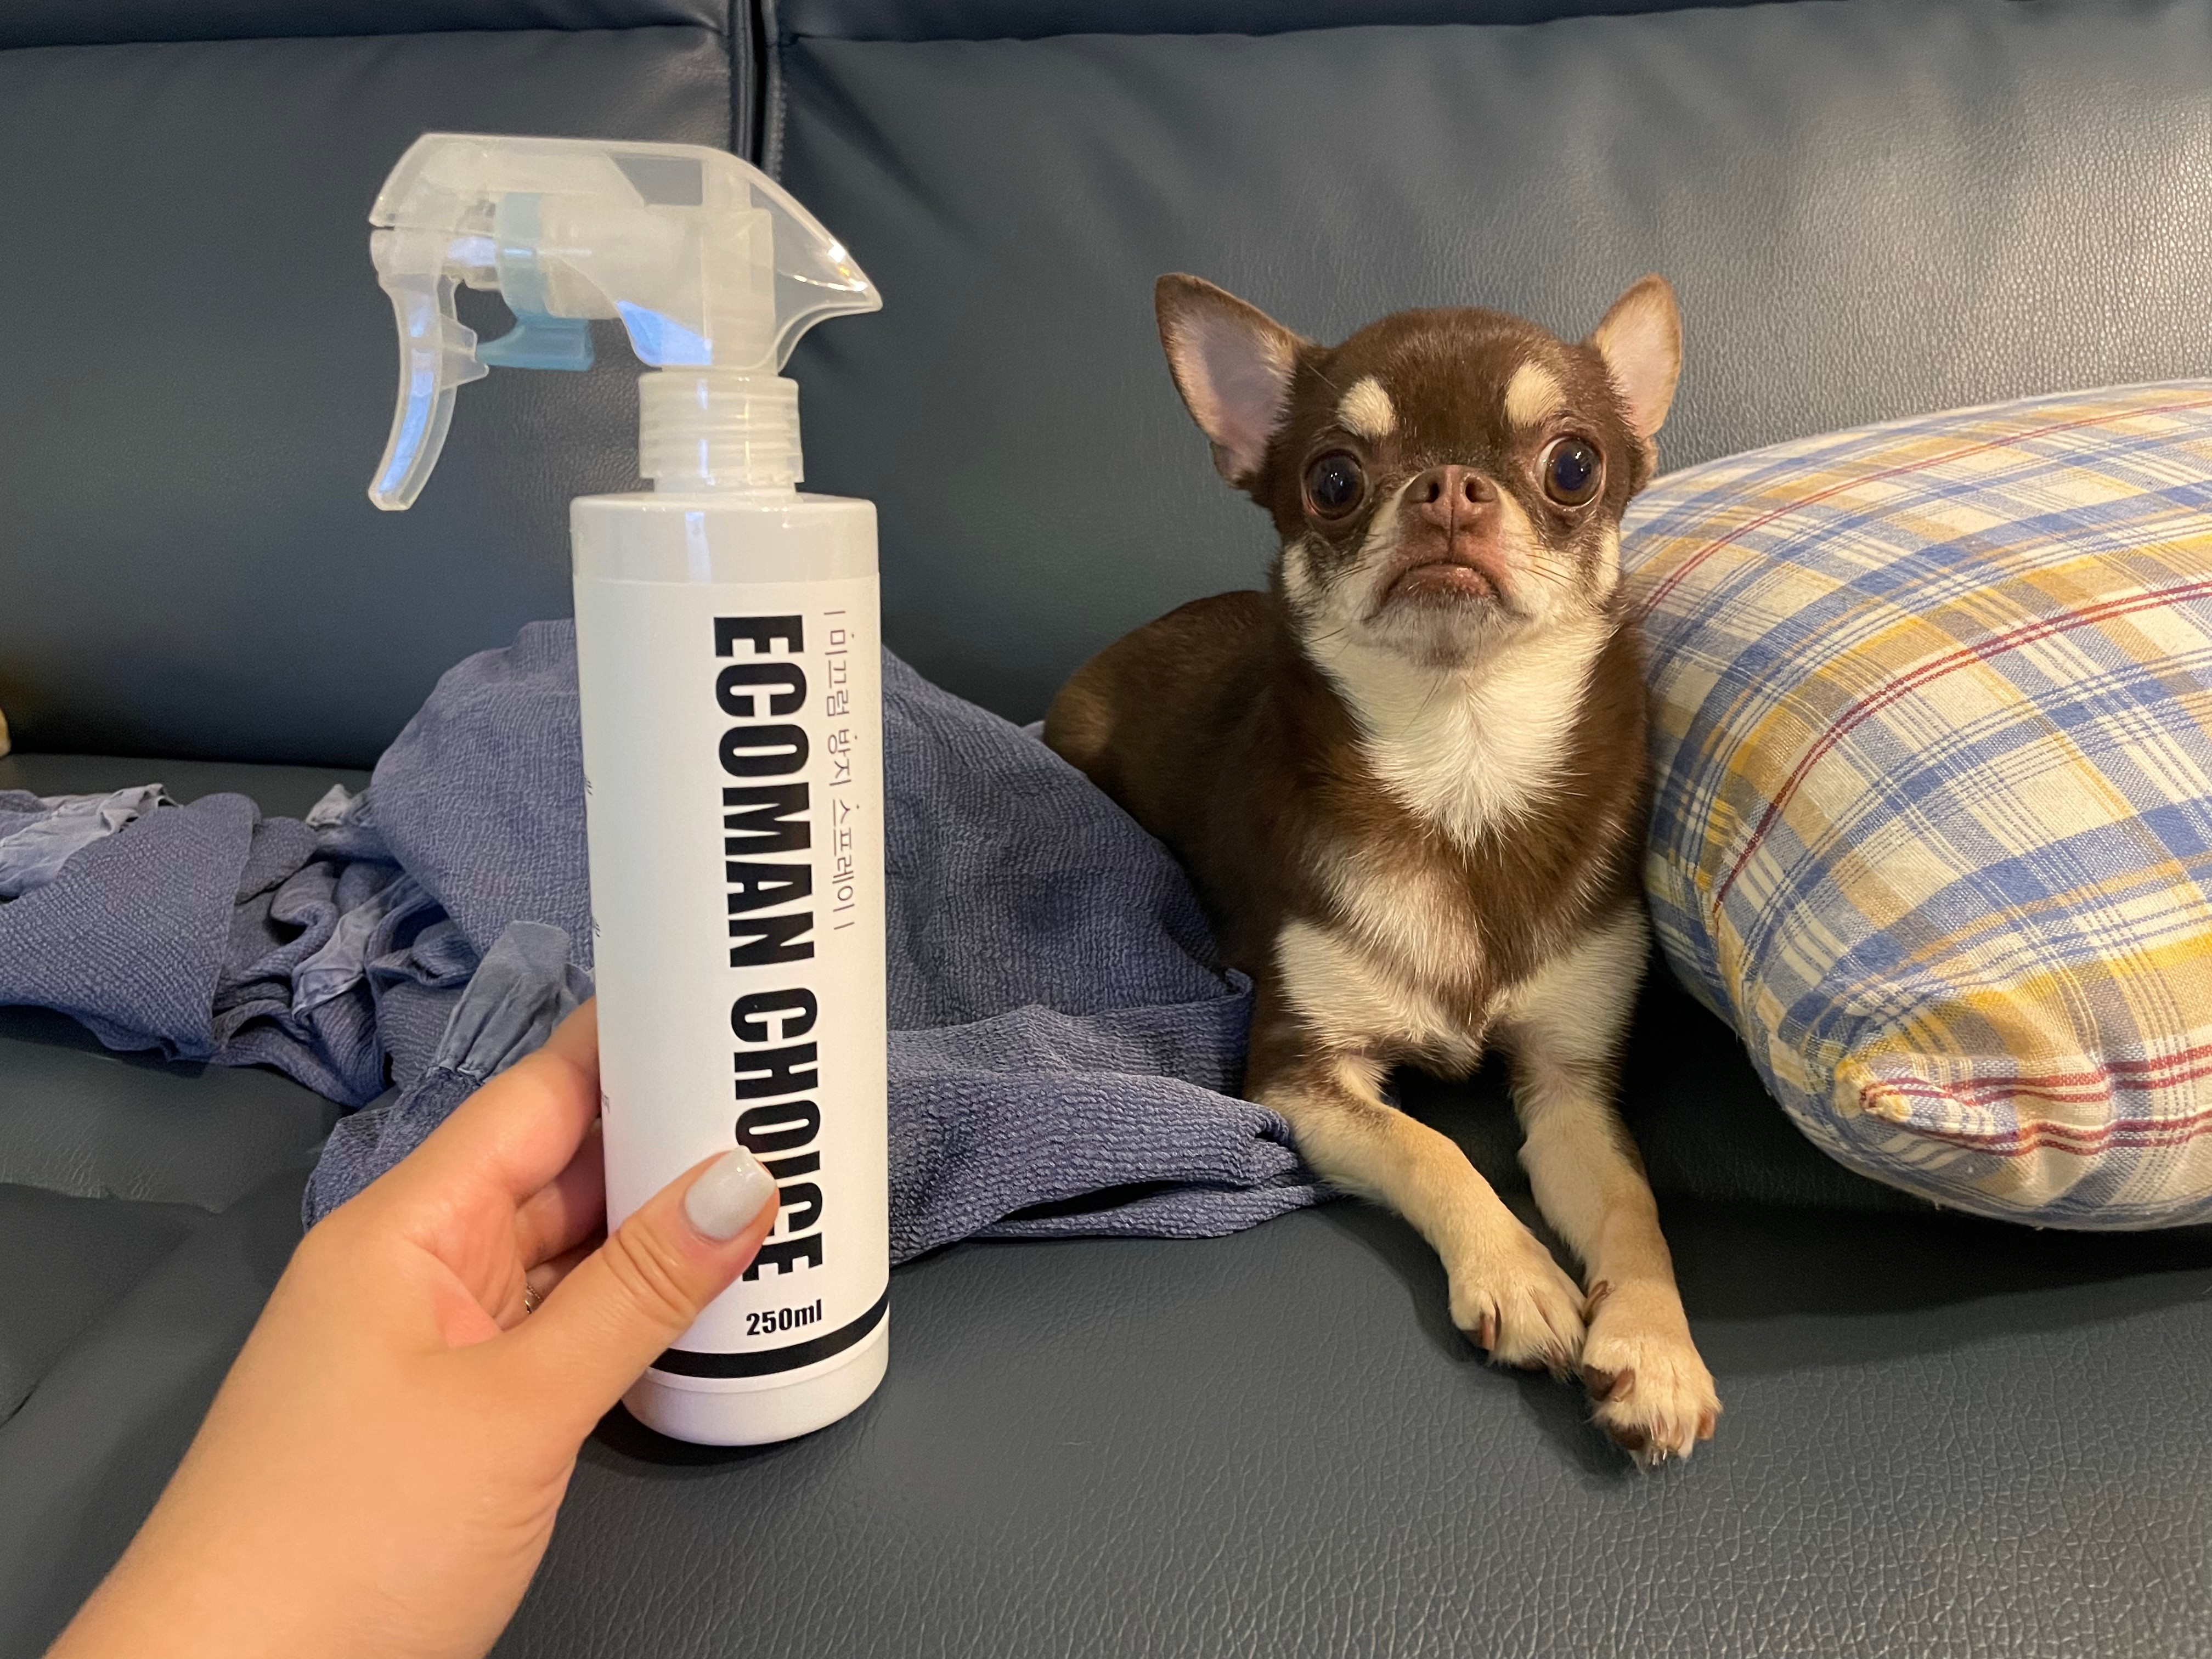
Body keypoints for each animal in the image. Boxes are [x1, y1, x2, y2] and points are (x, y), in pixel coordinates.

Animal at [1043, 274, 1719, 1463]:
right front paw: (1523, 1277)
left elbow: (1635, 1210)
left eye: (1574, 465)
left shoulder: (1570, 1089)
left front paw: (1655, 1347)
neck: (1462, 761)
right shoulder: (1300, 1078)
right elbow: (1432, 1148)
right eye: (1332, 480)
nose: (1449, 487)